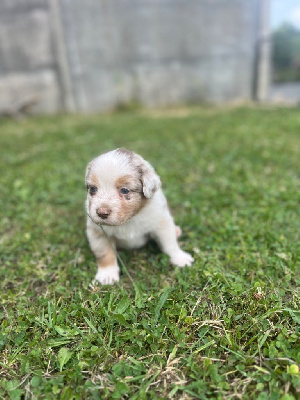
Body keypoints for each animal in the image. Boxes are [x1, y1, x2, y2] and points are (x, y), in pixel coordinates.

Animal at [85, 148, 193, 284]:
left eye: (124, 190)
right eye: (93, 189)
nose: (101, 213)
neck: (130, 218)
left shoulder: (161, 222)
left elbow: (170, 243)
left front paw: (179, 257)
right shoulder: (98, 232)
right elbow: (105, 254)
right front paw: (107, 274)